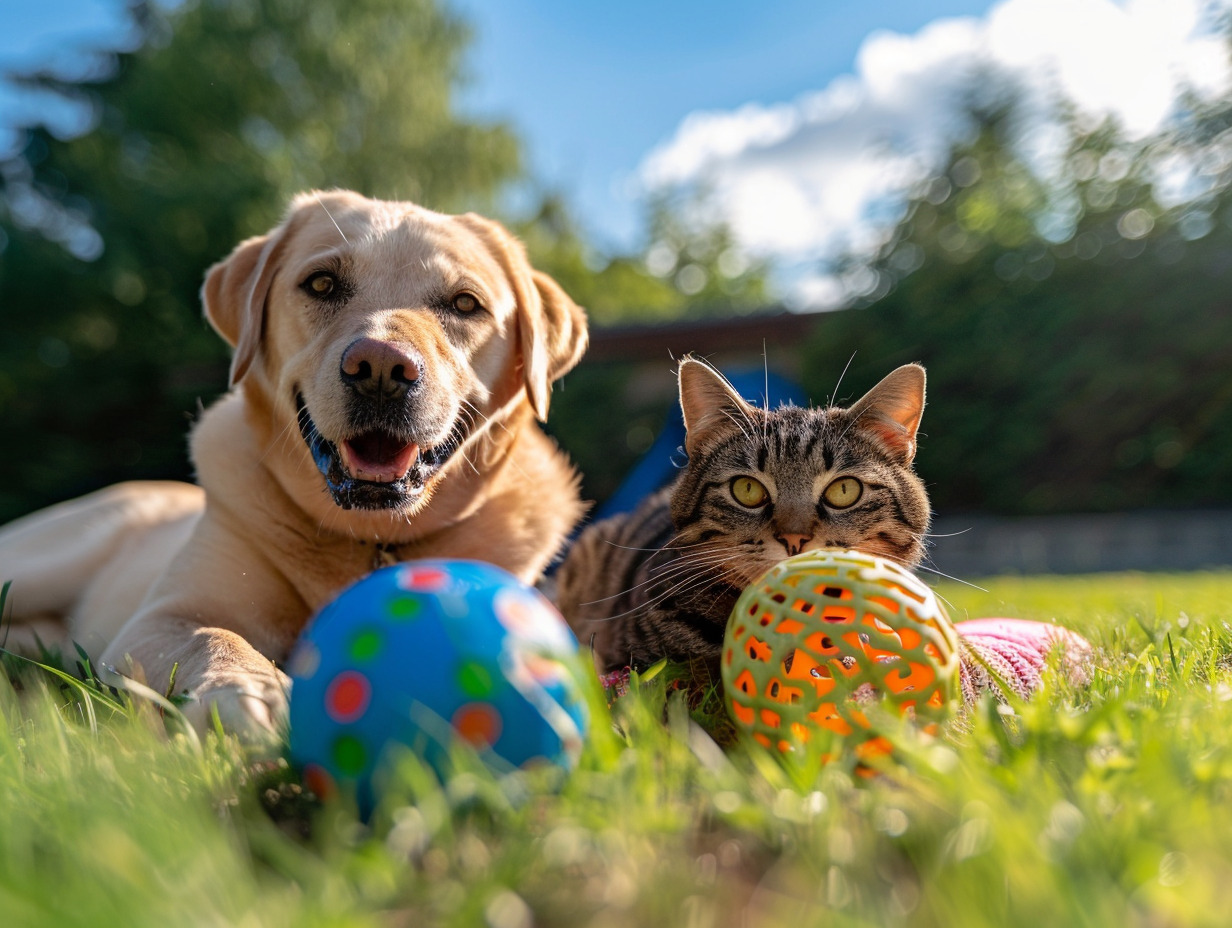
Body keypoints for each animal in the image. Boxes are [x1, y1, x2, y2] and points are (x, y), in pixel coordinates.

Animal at [1, 189, 586, 744]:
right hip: (44, 561)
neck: (371, 539)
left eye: (466, 303)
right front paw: (253, 694)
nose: (381, 368)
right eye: (322, 284)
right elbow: (215, 637)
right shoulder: (161, 617)